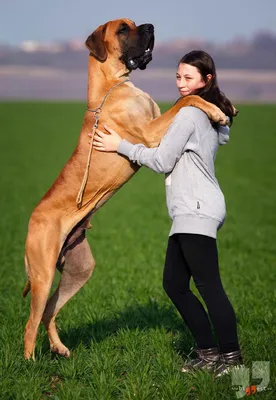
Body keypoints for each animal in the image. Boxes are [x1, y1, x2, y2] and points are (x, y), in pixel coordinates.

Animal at [22, 18, 229, 360]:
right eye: (122, 29)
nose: (150, 25)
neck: (113, 86)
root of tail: (31, 220)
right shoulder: (150, 133)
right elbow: (188, 99)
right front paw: (216, 111)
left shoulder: (158, 121)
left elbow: (182, 100)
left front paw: (223, 105)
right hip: (43, 273)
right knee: (31, 322)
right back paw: (30, 364)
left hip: (79, 270)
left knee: (50, 311)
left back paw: (60, 348)